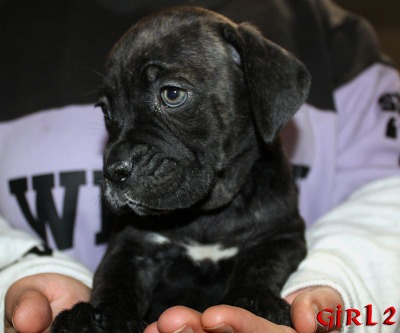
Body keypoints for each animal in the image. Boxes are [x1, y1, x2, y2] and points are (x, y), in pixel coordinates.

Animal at [52, 5, 310, 332]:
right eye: (105, 111)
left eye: (172, 94)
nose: (114, 170)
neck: (207, 214)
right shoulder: (132, 246)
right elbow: (114, 281)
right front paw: (97, 317)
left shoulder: (281, 236)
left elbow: (261, 265)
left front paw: (254, 301)